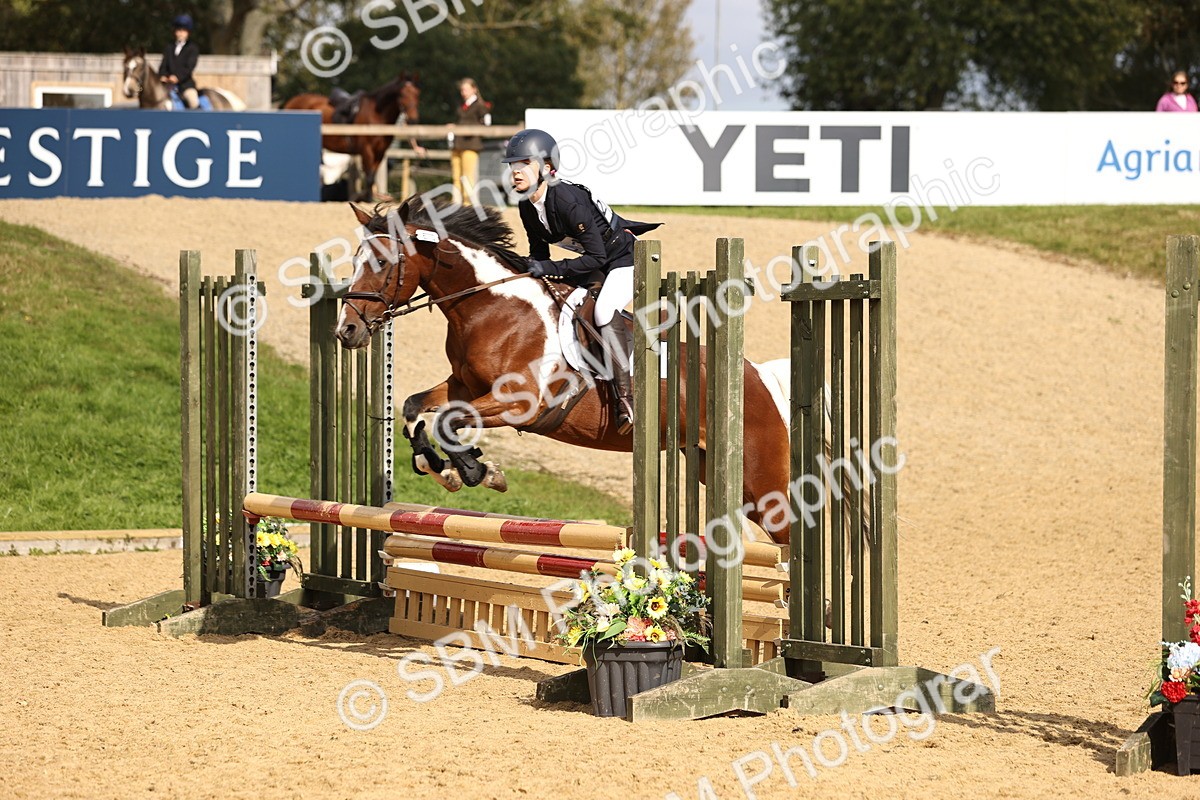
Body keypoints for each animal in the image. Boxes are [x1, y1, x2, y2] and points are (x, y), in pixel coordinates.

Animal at [283, 73, 420, 200]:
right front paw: (367, 200)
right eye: (402, 94)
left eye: (417, 94)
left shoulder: (380, 153)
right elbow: (369, 178)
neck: (376, 115)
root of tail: (291, 102)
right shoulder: (367, 151)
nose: (413, 120)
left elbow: (372, 177)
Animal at [332, 197, 796, 544]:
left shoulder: (518, 404)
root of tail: (756, 374)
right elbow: (415, 409)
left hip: (761, 483)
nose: (346, 331)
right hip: (707, 464)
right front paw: (445, 467)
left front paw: (474, 471)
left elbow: (448, 420)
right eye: (356, 260)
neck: (489, 307)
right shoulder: (463, 386)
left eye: (382, 261)